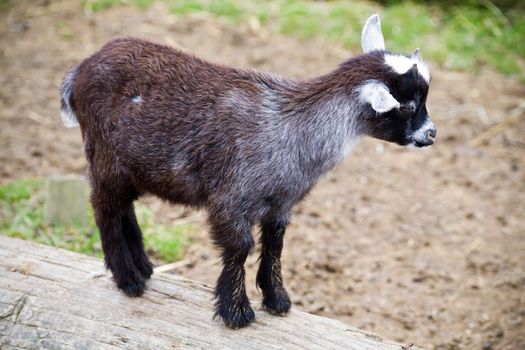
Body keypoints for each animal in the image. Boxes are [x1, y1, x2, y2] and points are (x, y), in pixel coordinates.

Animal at [59, 15, 434, 330]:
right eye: (406, 106)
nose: (431, 134)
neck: (293, 127)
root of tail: (80, 70)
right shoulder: (231, 200)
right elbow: (240, 247)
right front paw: (236, 313)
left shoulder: (280, 203)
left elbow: (275, 245)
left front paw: (277, 300)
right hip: (105, 158)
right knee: (104, 208)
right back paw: (129, 280)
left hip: (131, 167)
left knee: (124, 207)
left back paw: (143, 266)